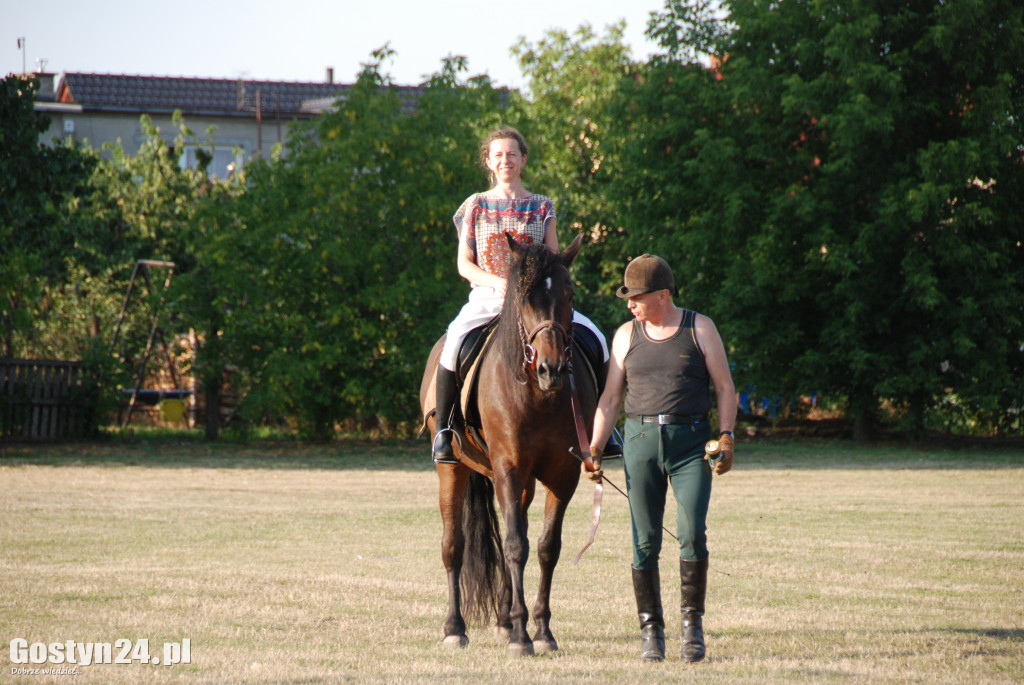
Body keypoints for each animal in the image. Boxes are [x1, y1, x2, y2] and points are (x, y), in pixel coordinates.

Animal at [419, 232, 598, 655]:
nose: (551, 369)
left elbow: (546, 547)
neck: (537, 395)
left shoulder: (563, 475)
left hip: (525, 483)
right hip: (453, 469)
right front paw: (521, 636)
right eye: (524, 297)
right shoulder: (508, 469)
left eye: (569, 294)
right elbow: (517, 545)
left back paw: (503, 620)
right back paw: (455, 628)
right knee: (454, 545)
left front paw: (542, 631)